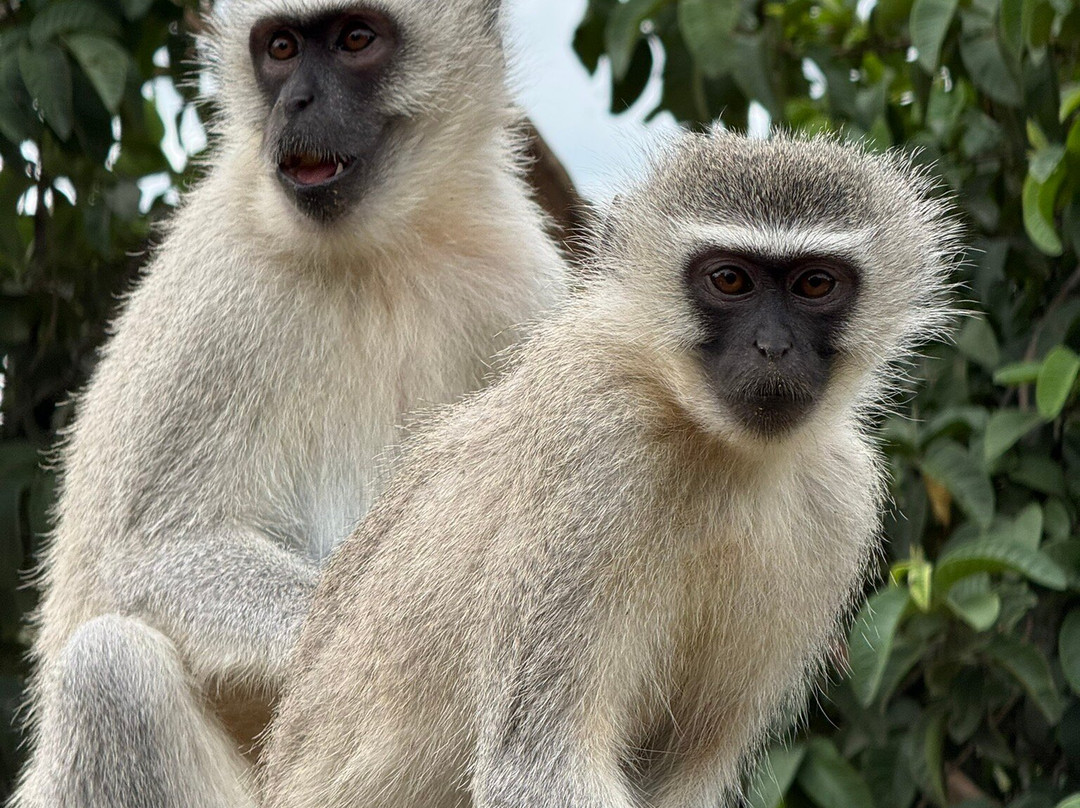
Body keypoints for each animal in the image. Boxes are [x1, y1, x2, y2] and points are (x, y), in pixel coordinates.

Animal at [10, 0, 566, 805]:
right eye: (280, 48)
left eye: (355, 39)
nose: (296, 104)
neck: (377, 251)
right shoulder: (221, 292)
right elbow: (145, 559)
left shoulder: (521, 284)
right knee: (108, 673)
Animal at [256, 129, 960, 808]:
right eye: (730, 281)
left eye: (815, 284)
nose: (773, 348)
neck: (715, 444)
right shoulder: (599, 444)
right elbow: (535, 762)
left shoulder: (839, 498)